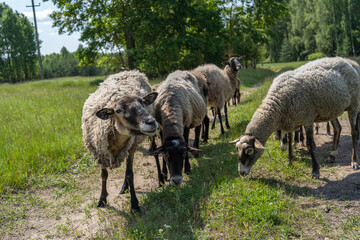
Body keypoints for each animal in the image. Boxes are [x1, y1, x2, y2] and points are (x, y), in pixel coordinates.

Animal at [83, 70, 159, 212]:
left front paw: (134, 205)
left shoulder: (131, 147)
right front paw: (102, 199)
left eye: (143, 103)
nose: (151, 122)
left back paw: (161, 179)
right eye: (119, 110)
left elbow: (130, 174)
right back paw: (124, 188)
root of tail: (130, 71)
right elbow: (104, 175)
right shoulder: (101, 152)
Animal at [231, 57, 360, 178]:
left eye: (249, 150)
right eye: (237, 149)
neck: (278, 105)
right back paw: (332, 156)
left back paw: (354, 161)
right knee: (338, 129)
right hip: (332, 109)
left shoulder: (307, 119)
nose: (241, 172)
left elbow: (309, 145)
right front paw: (289, 161)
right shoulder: (290, 121)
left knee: (354, 133)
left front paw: (315, 171)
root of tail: (345, 61)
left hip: (354, 104)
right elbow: (289, 140)